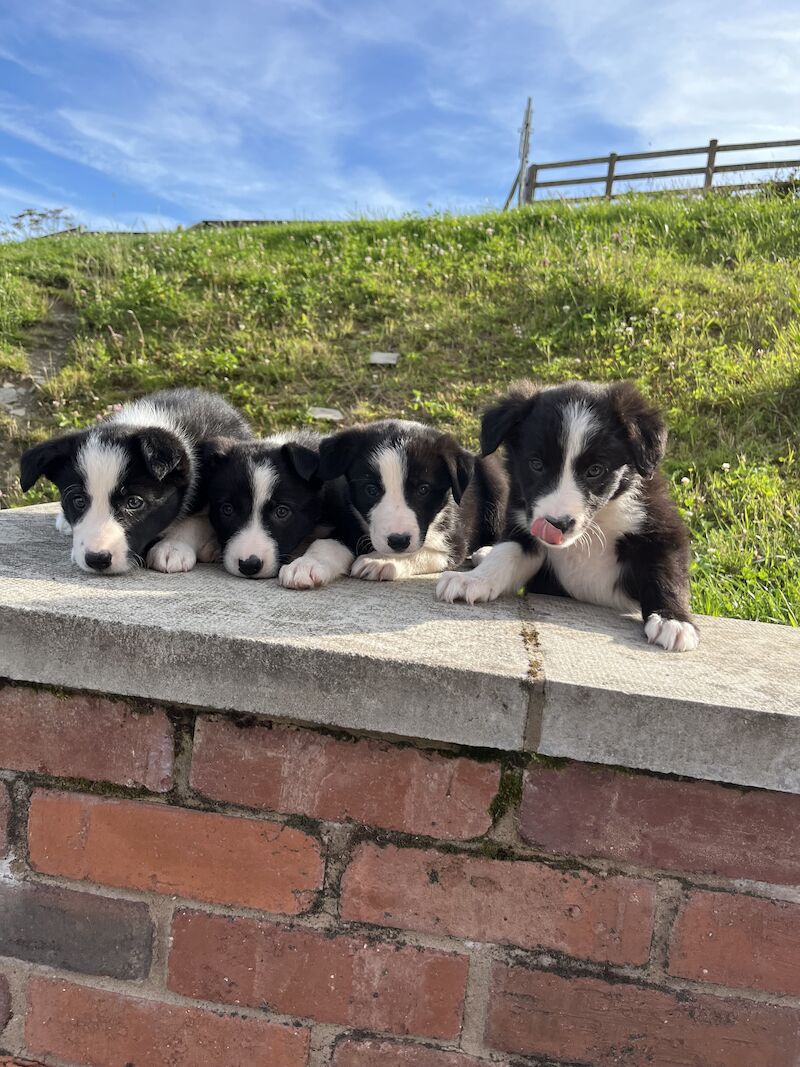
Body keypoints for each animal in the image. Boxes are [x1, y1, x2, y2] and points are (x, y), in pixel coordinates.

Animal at [315, 418, 507, 584]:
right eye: (371, 490)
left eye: (423, 490)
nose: (398, 541)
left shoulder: (455, 544)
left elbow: (422, 552)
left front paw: (381, 561)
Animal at [439, 379, 699, 653]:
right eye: (536, 464)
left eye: (595, 470)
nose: (556, 524)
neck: (595, 528)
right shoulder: (524, 528)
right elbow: (506, 553)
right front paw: (472, 580)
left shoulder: (659, 527)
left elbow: (667, 571)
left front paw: (674, 620)